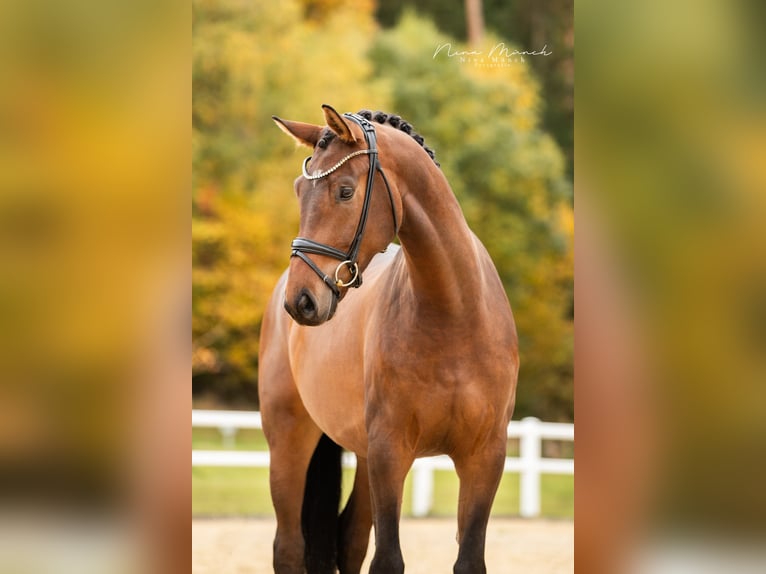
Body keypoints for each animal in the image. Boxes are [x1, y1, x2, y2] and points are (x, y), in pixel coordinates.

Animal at [258, 104, 519, 574]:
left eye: (345, 191)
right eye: (298, 191)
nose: (301, 301)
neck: (452, 314)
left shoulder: (485, 457)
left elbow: (469, 559)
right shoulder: (389, 452)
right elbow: (388, 560)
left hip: (361, 456)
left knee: (350, 539)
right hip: (289, 441)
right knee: (288, 548)